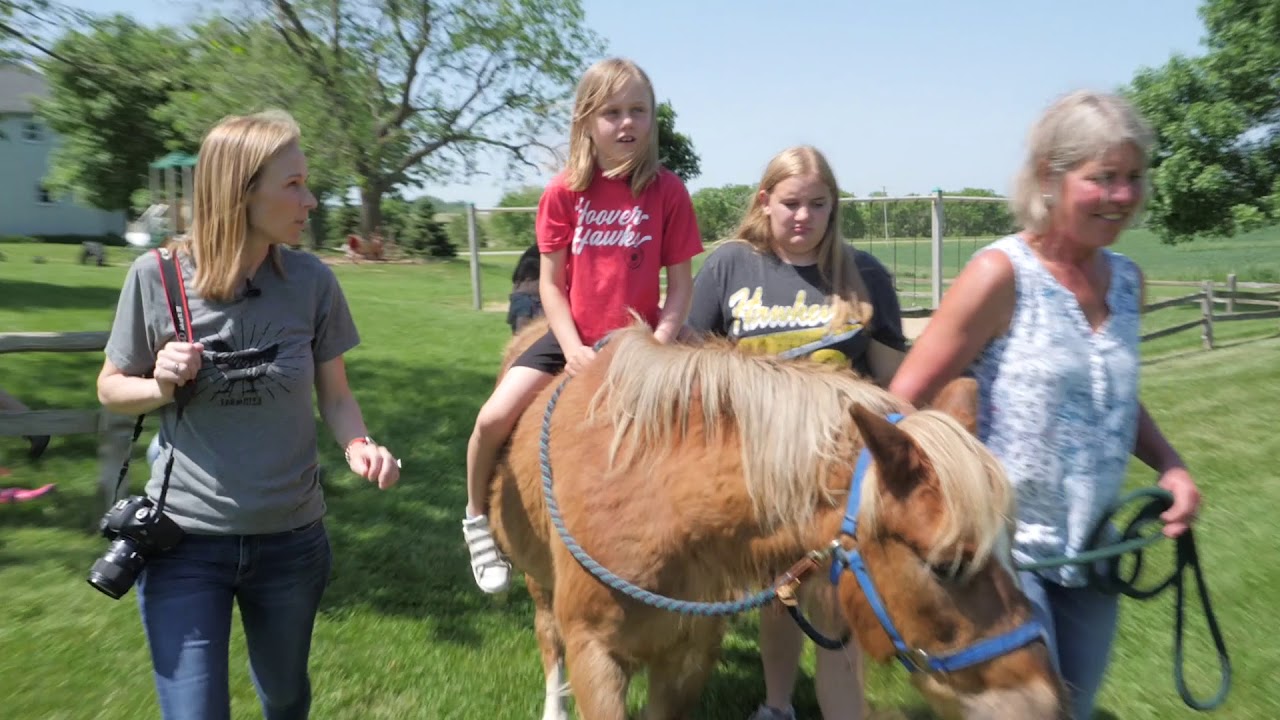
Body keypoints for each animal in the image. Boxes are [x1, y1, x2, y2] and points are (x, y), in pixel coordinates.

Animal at [488, 319, 1065, 720]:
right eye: (946, 566)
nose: (1044, 704)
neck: (649, 493)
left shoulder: (687, 658)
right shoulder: (596, 659)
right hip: (541, 590)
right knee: (548, 642)